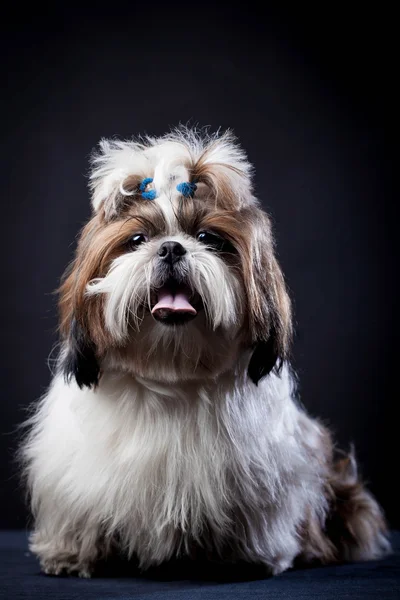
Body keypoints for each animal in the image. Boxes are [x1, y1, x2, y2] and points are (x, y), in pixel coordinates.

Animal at [20, 125, 390, 576]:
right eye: (137, 240)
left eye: (207, 238)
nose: (171, 248)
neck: (173, 374)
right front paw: (72, 553)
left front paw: (251, 556)